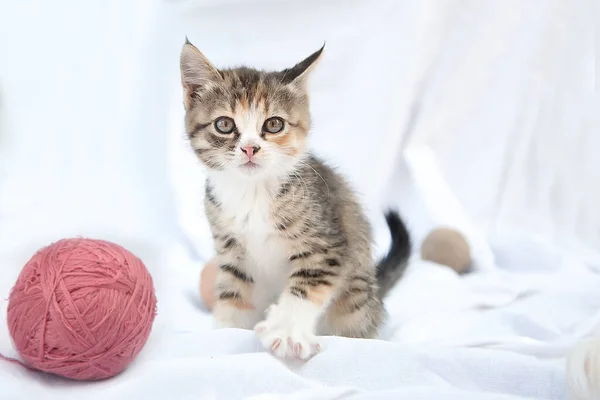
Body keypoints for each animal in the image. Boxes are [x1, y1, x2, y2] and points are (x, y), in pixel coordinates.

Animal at [180, 39, 410, 360]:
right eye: (224, 124)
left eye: (274, 124)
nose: (250, 148)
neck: (253, 193)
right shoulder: (231, 253)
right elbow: (233, 296)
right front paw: (225, 337)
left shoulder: (326, 245)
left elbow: (306, 286)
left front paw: (287, 330)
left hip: (355, 300)